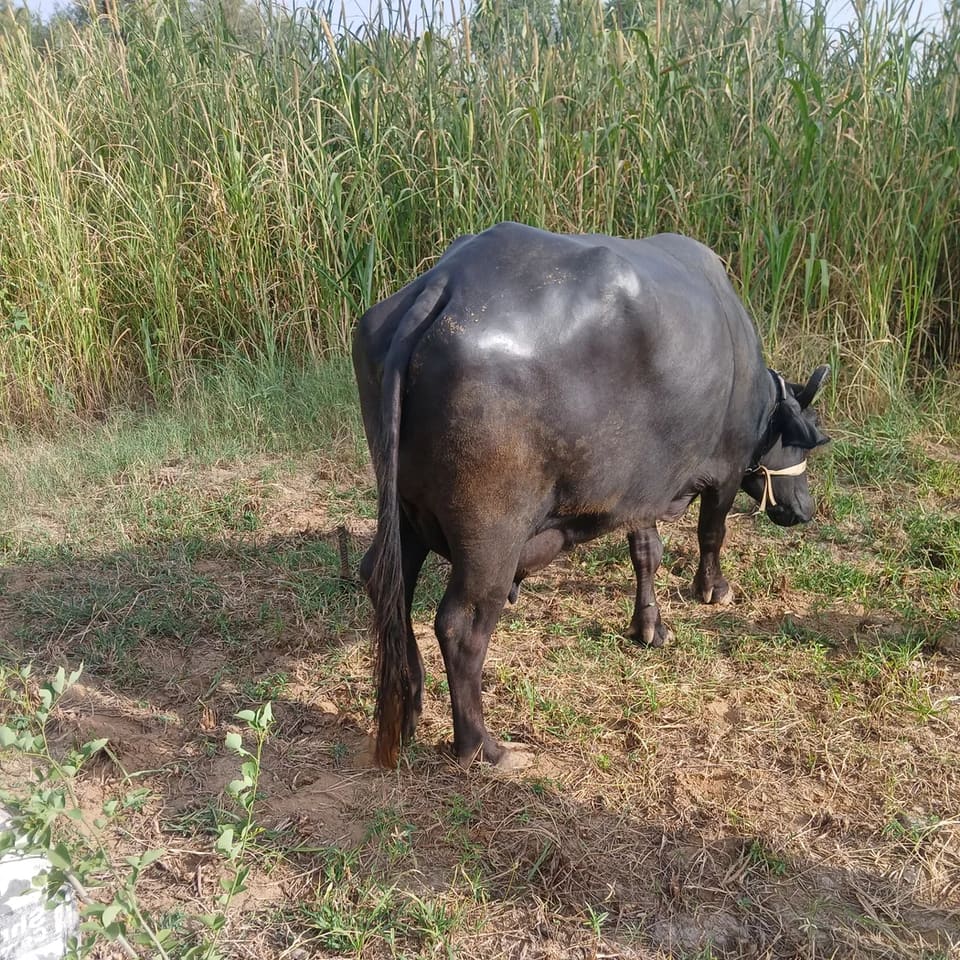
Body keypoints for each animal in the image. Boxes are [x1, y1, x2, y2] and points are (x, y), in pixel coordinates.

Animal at [354, 223, 830, 769]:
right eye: (801, 437)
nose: (804, 509)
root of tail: (443, 286)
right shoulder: (725, 474)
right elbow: (712, 532)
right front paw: (713, 588)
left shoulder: (643, 488)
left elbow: (647, 553)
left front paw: (649, 626)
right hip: (490, 543)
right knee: (460, 627)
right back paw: (483, 746)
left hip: (403, 511)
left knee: (385, 584)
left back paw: (410, 704)